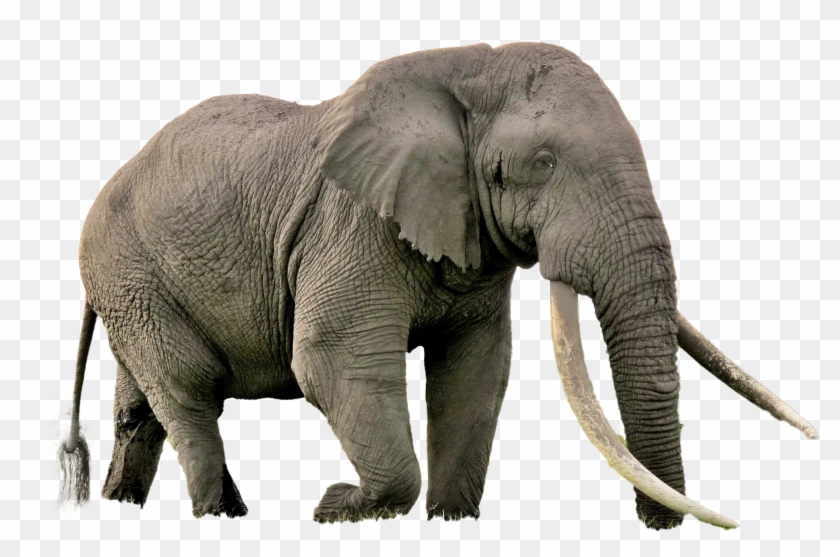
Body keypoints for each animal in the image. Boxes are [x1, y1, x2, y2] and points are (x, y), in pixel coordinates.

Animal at [57, 42, 818, 530]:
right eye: (542, 163)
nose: (659, 527)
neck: (468, 68)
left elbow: (475, 372)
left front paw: (451, 522)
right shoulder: (352, 224)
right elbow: (333, 361)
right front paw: (337, 509)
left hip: (133, 286)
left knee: (141, 408)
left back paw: (128, 507)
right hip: (130, 271)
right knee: (188, 390)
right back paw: (221, 517)